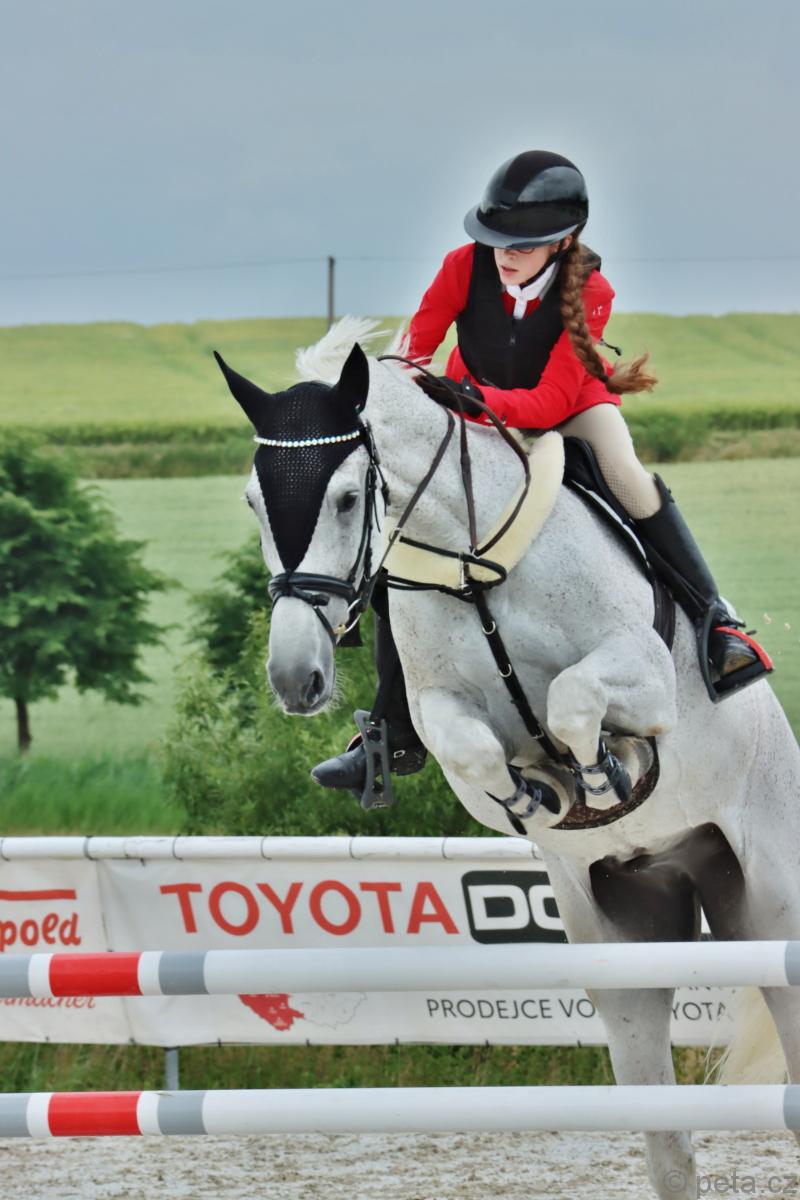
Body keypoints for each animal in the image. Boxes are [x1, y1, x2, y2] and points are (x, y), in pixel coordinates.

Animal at [214, 318, 800, 1200]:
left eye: (348, 497)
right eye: (252, 500)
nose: (294, 679)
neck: (470, 559)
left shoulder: (644, 675)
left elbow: (573, 699)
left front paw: (604, 768)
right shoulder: (439, 713)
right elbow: (478, 752)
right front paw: (538, 795)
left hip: (769, 908)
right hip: (625, 940)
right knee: (665, 1131)